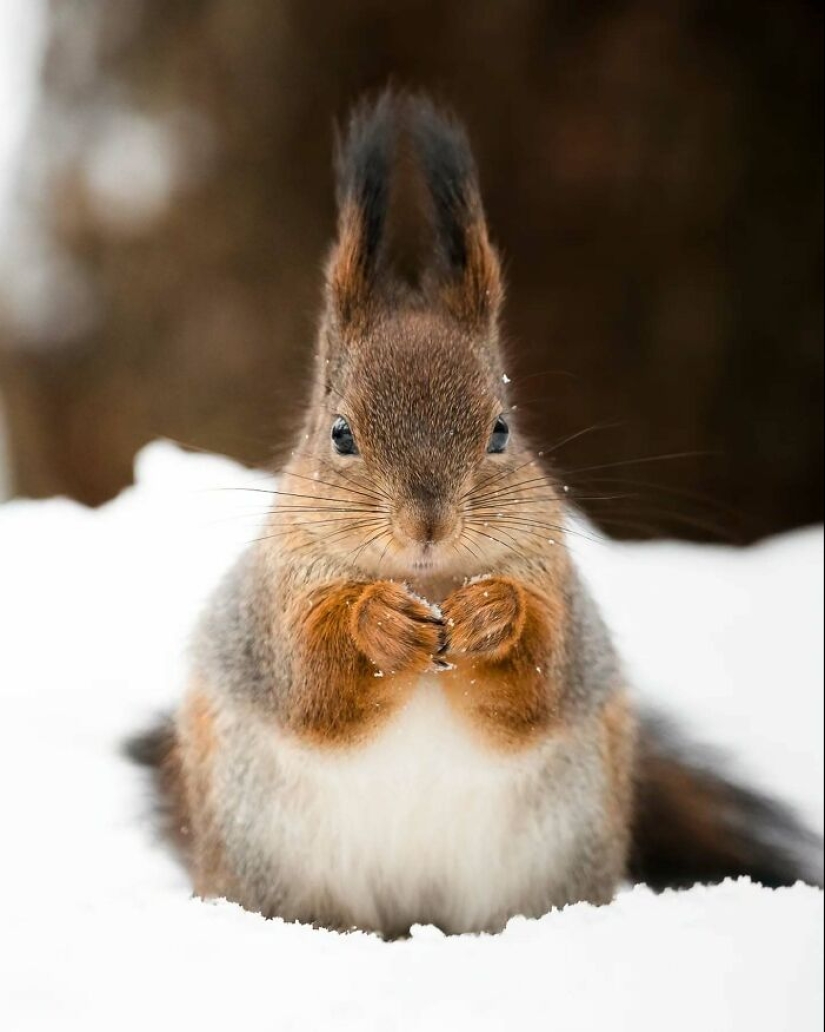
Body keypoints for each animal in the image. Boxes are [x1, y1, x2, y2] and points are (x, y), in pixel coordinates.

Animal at [125, 92, 821, 941]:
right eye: (340, 434)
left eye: (500, 430)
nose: (427, 524)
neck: (430, 580)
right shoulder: (271, 605)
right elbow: (310, 682)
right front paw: (375, 621)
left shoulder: (555, 586)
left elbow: (536, 681)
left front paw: (495, 614)